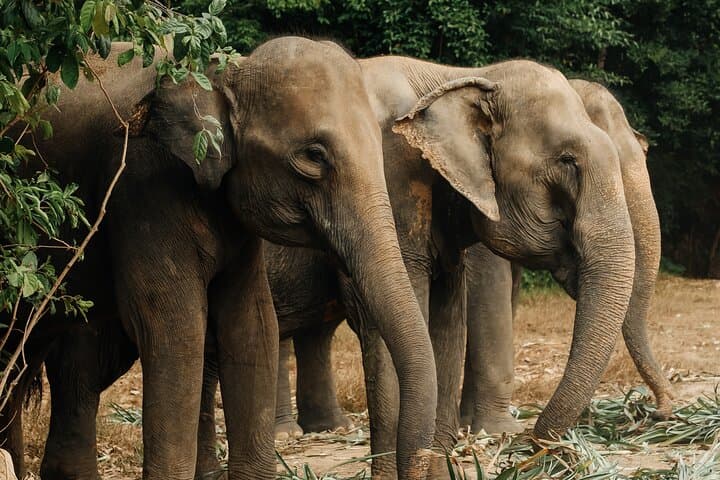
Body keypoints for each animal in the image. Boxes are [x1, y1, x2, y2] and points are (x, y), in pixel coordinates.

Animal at [0, 38, 438, 480]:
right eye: (314, 156)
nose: (426, 461)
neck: (222, 74)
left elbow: (253, 325)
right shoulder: (144, 188)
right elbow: (174, 330)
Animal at [30, 56, 640, 480]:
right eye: (568, 162)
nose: (540, 453)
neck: (457, 76)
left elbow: (445, 326)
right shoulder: (394, 187)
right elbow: (389, 323)